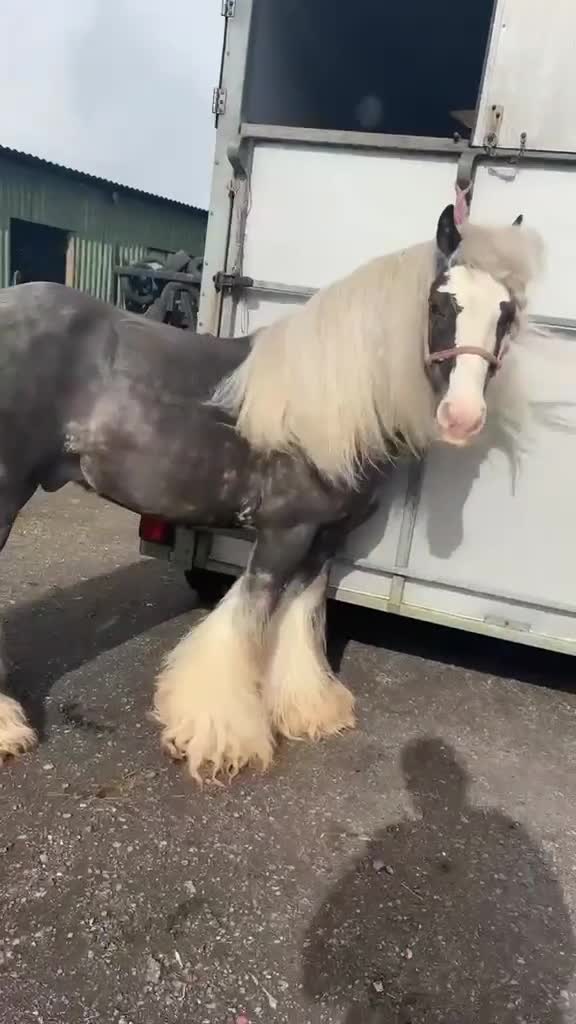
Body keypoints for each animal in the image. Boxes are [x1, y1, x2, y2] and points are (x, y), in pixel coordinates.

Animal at [0, 203, 544, 782]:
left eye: (506, 312)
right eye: (441, 303)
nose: (463, 417)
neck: (332, 406)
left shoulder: (327, 537)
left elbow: (300, 614)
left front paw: (309, 709)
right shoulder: (285, 532)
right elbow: (246, 618)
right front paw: (221, 737)